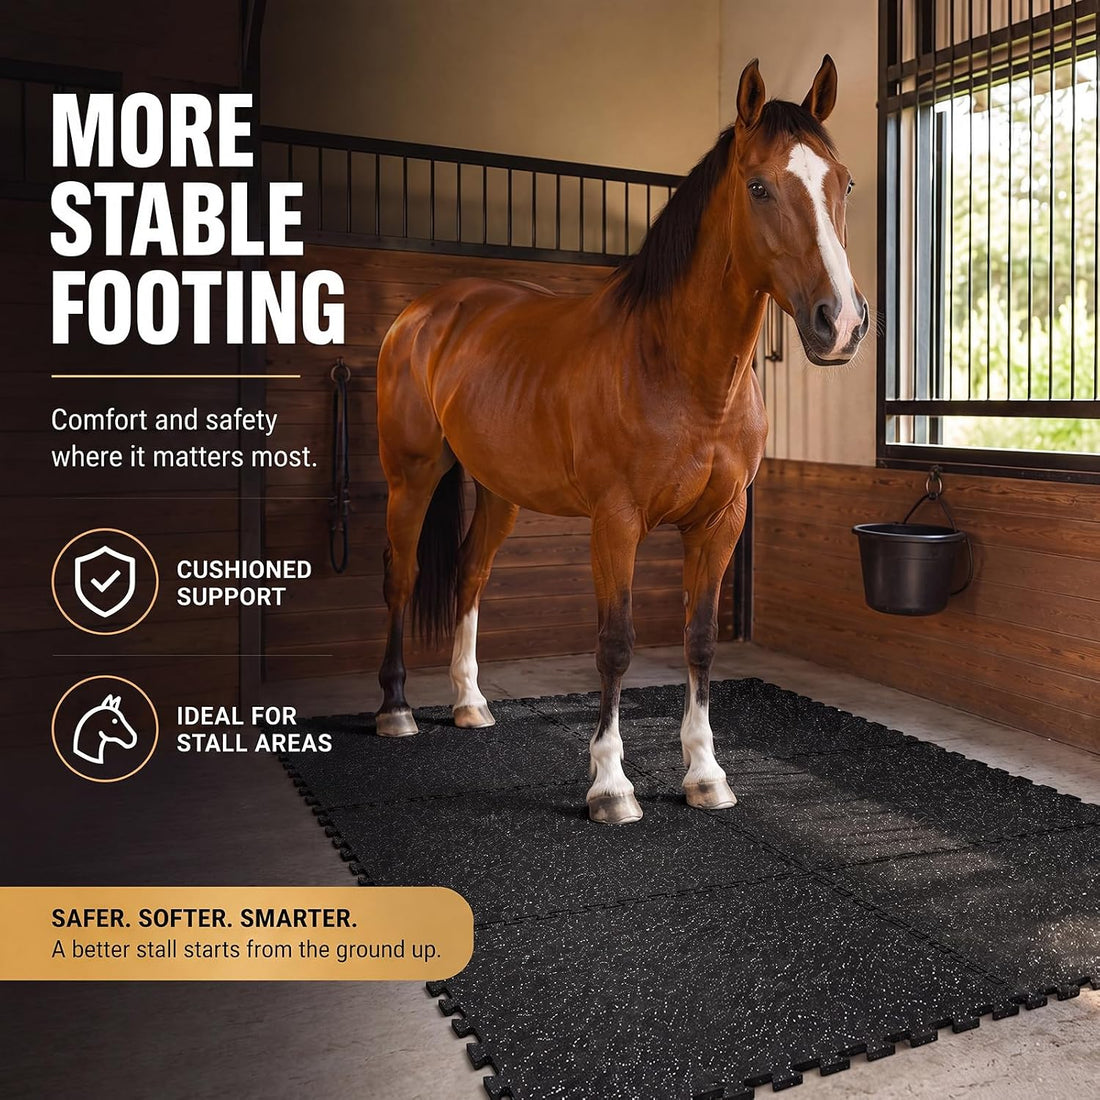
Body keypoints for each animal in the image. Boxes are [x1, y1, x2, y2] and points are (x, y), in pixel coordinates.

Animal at [373, 56, 868, 824]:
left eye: (842, 182)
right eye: (758, 186)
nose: (839, 323)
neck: (680, 368)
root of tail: (423, 313)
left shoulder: (722, 521)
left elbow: (699, 641)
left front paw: (705, 775)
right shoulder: (616, 522)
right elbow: (616, 644)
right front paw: (610, 786)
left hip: (498, 492)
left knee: (470, 574)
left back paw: (470, 702)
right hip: (412, 475)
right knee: (401, 574)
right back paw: (395, 709)